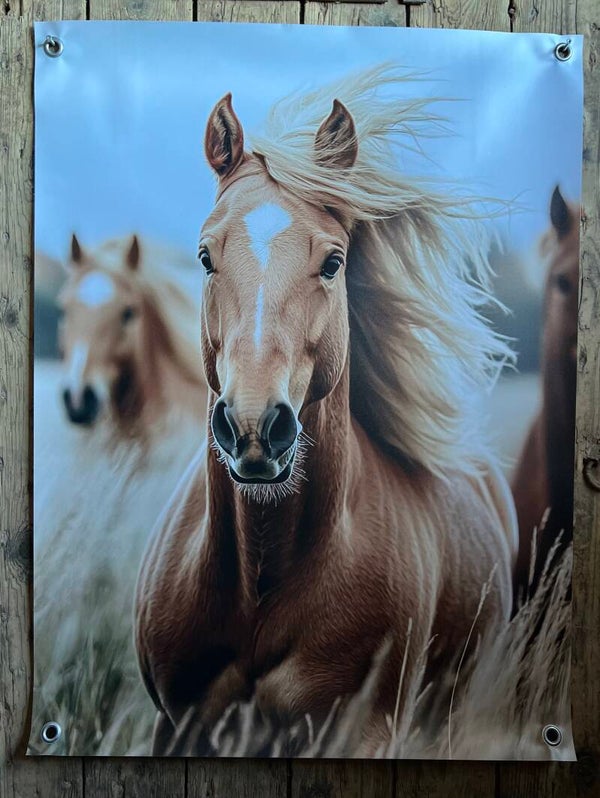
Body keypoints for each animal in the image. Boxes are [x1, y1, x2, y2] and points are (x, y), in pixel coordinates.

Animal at [135, 67, 518, 757]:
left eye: (333, 262)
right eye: (205, 256)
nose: (254, 427)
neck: (260, 587)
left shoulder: (359, 732)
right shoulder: (177, 726)